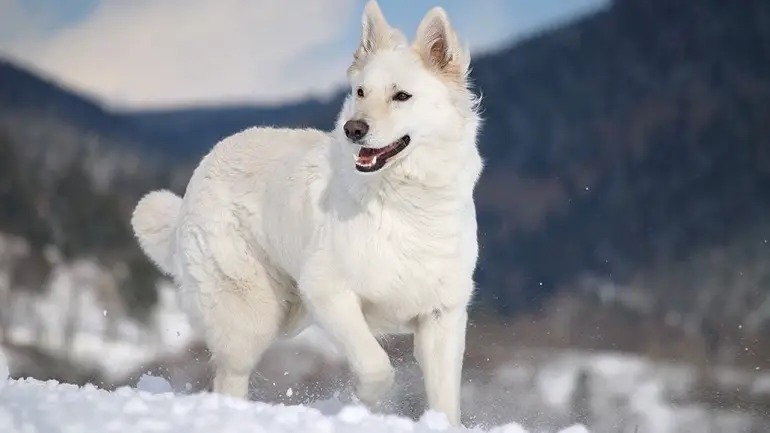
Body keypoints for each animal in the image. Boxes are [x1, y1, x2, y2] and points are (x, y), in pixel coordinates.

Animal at [130, 0, 480, 426]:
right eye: (360, 92)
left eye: (401, 96)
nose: (353, 129)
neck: (404, 202)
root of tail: (205, 165)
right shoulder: (329, 291)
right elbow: (377, 367)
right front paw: (359, 403)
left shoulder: (442, 315)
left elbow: (444, 399)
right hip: (252, 316)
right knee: (230, 376)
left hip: (288, 314)